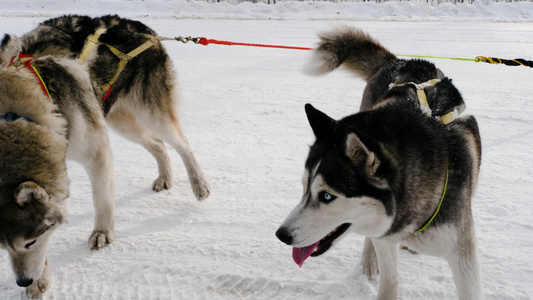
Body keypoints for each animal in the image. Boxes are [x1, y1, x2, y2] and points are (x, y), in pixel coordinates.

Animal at [0, 55, 111, 296]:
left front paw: (102, 232)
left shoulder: (96, 155)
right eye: (2, 247)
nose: (22, 281)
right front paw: (39, 281)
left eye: (29, 243)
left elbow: (102, 200)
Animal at [1, 15, 211, 200]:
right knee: (158, 144)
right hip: (118, 120)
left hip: (150, 114)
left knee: (183, 145)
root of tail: (145, 30)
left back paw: (199, 185)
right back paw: (165, 178)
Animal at [274, 26, 482, 300]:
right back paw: (368, 263)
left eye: (327, 196)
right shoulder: (386, 237)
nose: (281, 235)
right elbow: (390, 277)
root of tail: (401, 62)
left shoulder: (463, 256)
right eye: (304, 188)